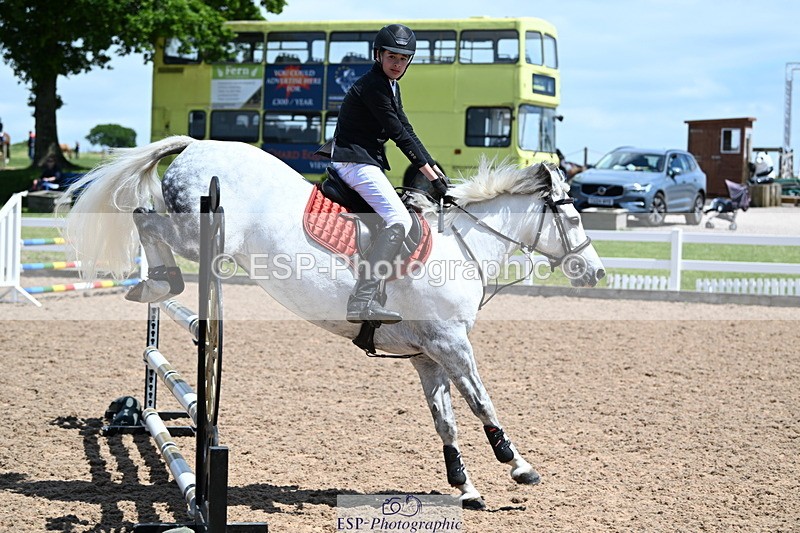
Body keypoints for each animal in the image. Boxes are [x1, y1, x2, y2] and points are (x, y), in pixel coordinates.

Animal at [63, 136, 605, 509]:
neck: (463, 249)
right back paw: (158, 283)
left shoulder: (428, 356)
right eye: (575, 217)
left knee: (145, 216)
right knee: (144, 217)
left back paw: (152, 286)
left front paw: (466, 487)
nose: (595, 273)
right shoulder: (452, 345)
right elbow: (481, 403)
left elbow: (445, 420)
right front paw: (518, 466)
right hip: (198, 233)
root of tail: (197, 143)